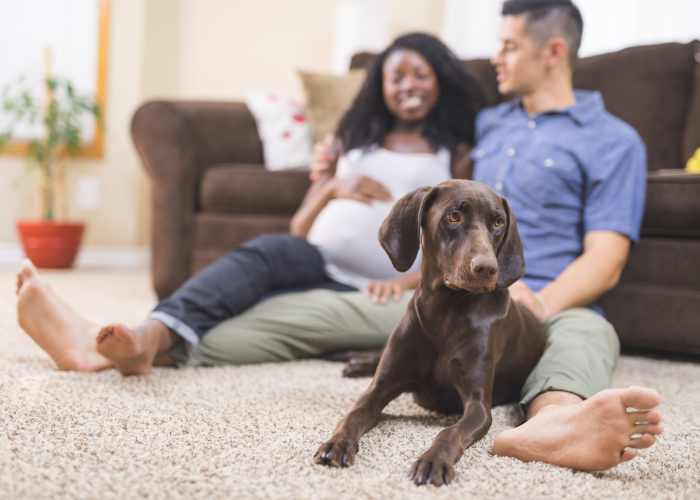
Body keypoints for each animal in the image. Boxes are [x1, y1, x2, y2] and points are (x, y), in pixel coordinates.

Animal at [312, 181, 548, 488]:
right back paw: (355, 363)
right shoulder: (379, 388)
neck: (445, 311)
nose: (487, 268)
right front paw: (336, 444)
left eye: (498, 223)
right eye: (453, 216)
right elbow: (352, 415)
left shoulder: (478, 406)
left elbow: (449, 432)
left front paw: (433, 461)